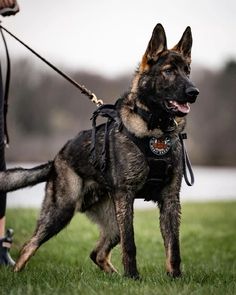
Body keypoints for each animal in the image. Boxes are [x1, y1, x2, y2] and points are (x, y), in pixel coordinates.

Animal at [0, 23, 199, 280]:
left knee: (97, 253)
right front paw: (133, 278)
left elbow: (173, 246)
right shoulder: (126, 197)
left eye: (187, 70)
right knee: (29, 245)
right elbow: (131, 244)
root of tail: (56, 158)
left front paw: (175, 278)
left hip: (112, 223)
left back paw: (114, 277)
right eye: (169, 71)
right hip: (62, 211)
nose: (194, 92)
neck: (155, 129)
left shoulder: (170, 200)